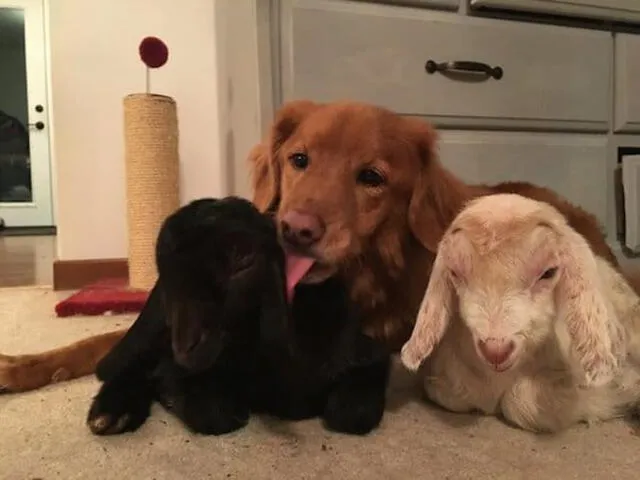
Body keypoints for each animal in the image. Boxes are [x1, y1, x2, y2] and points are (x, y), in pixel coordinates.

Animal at [400, 193, 640, 434]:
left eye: (549, 272)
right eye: (455, 273)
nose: (495, 351)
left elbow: (518, 399)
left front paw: (615, 396)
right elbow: (450, 389)